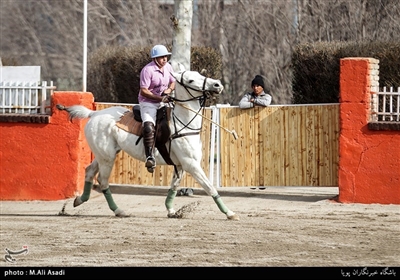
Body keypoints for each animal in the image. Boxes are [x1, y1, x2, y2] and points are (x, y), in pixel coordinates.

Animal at [55, 66, 238, 220]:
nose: (217, 84)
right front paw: (229, 213)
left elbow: (173, 187)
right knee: (103, 180)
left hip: (104, 154)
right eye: (191, 80)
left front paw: (171, 211)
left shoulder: (181, 165)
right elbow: (210, 187)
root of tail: (93, 114)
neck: (184, 122)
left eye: (200, 74)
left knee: (89, 171)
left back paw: (79, 200)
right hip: (107, 158)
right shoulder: (191, 164)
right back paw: (118, 210)